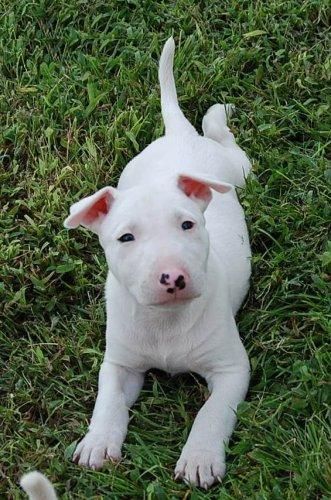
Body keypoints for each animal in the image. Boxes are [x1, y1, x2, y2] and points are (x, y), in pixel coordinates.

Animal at [64, 38, 252, 488]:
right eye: (125, 238)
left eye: (187, 224)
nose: (173, 277)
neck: (166, 321)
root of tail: (177, 134)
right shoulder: (119, 362)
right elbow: (108, 398)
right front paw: (98, 443)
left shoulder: (232, 369)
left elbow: (211, 413)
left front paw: (200, 458)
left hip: (238, 171)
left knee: (228, 143)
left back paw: (217, 116)